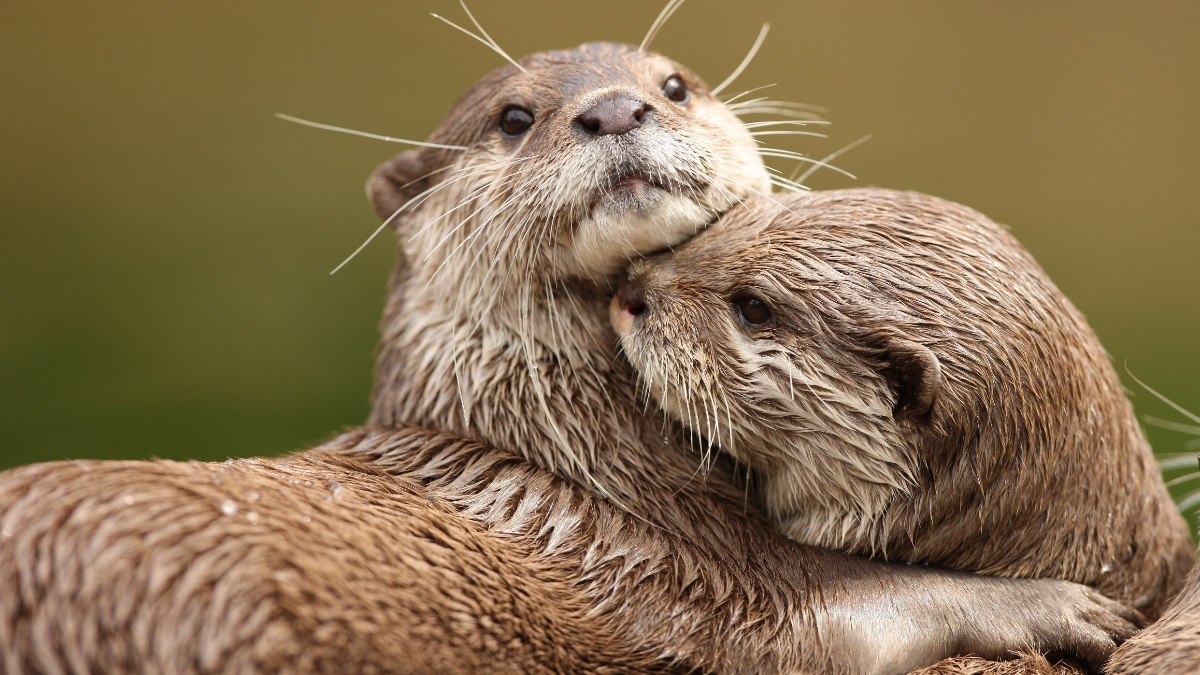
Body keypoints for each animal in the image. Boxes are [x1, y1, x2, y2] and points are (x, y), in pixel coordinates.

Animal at [0, 38, 1142, 672]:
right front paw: (1053, 604)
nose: (616, 107)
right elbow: (846, 607)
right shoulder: (682, 569)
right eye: (516, 117)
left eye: (674, 83)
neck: (564, 437)